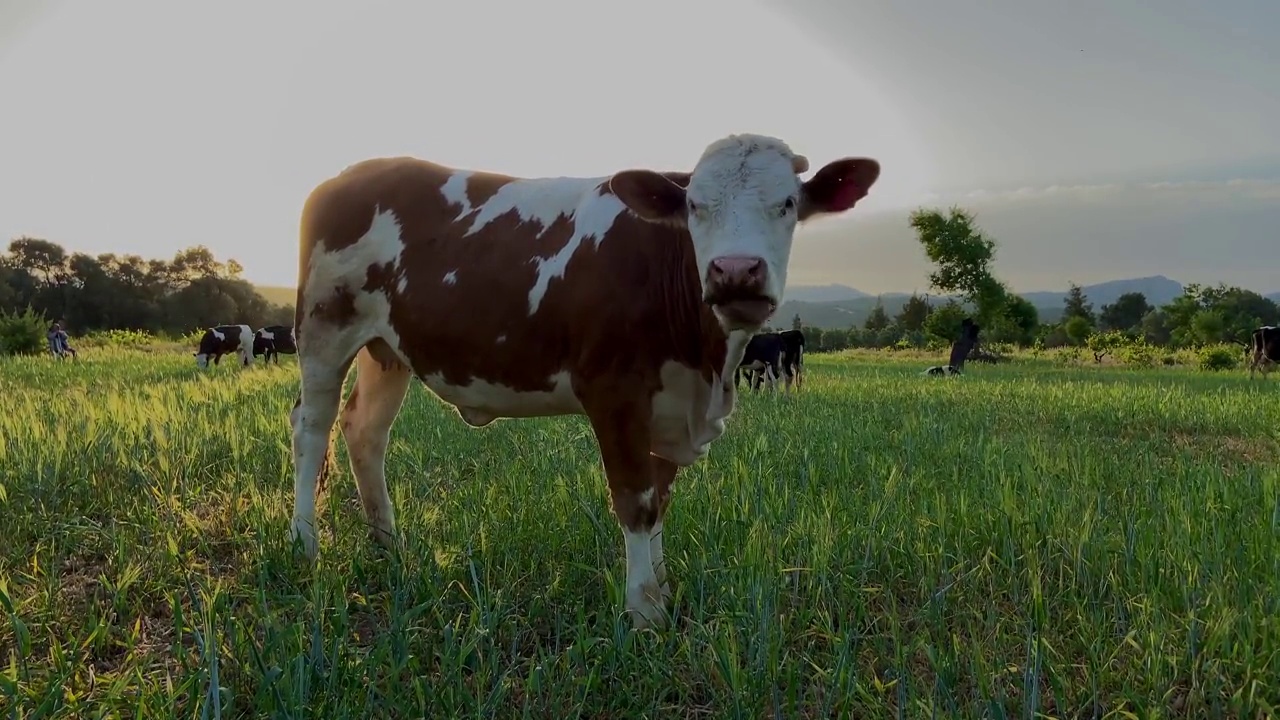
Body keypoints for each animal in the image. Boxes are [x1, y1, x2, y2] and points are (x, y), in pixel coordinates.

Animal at [289, 131, 880, 625]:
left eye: (787, 204)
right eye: (695, 206)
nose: (736, 271)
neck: (707, 370)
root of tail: (345, 175)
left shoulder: (671, 406)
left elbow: (660, 500)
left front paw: (662, 590)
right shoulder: (614, 394)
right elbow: (636, 501)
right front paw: (644, 612)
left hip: (387, 349)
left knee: (365, 431)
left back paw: (389, 545)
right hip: (324, 330)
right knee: (311, 429)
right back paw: (306, 545)